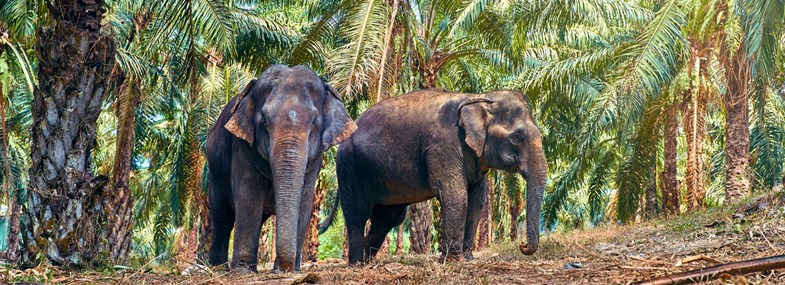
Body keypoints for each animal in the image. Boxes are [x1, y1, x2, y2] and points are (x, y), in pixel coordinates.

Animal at [207, 65, 356, 272]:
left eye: (314, 122)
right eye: (264, 120)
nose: (285, 267)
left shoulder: (315, 158)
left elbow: (304, 199)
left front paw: (289, 270)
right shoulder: (241, 144)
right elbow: (248, 194)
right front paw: (242, 271)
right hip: (214, 173)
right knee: (222, 217)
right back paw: (218, 268)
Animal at [318, 89, 544, 264]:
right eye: (517, 137)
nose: (522, 244)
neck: (478, 97)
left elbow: (476, 201)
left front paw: (467, 258)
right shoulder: (442, 146)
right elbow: (456, 195)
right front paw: (452, 260)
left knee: (388, 217)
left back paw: (368, 260)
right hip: (349, 167)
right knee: (358, 213)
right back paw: (357, 263)